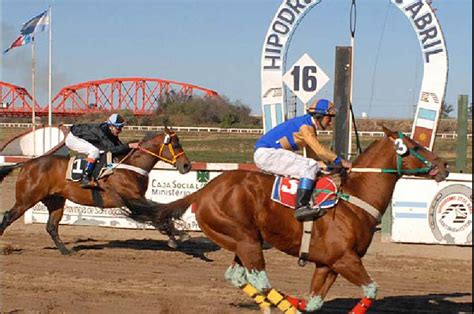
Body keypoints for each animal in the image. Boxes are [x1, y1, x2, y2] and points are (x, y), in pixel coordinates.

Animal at [1, 126, 193, 254]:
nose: (187, 166)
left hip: (55, 200)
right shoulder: (132, 198)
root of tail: (27, 163)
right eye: (176, 144)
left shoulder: (137, 198)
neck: (129, 165)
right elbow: (157, 214)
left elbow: (159, 211)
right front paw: (177, 235)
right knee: (8, 216)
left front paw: (175, 235)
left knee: (51, 227)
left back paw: (65, 251)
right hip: (27, 199)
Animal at [122, 126, 448, 312]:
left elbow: (315, 302)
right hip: (246, 240)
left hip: (243, 242)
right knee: (261, 282)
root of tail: (204, 190)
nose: (444, 165)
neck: (354, 199)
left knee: (239, 277)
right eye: (414, 147)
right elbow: (371, 290)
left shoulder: (327, 264)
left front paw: (303, 302)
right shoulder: (345, 259)